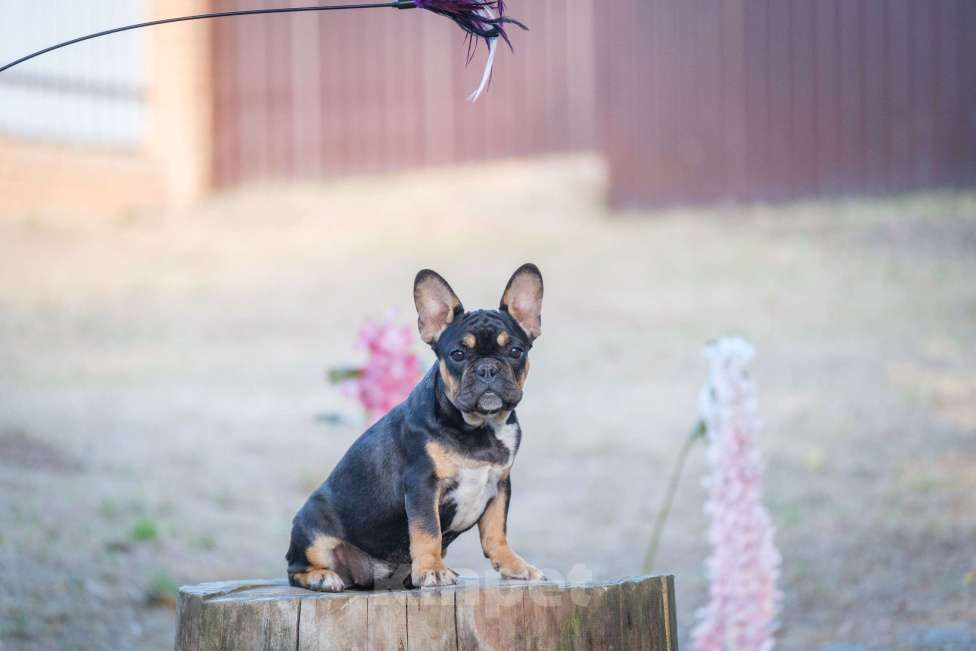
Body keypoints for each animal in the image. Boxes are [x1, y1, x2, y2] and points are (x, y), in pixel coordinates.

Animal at [286, 264, 544, 592]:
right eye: (458, 355)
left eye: (515, 350)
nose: (487, 368)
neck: (479, 427)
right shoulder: (422, 484)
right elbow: (427, 530)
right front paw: (432, 569)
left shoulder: (500, 485)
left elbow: (496, 532)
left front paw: (514, 566)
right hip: (312, 529)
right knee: (296, 568)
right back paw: (322, 577)